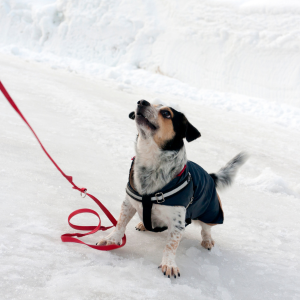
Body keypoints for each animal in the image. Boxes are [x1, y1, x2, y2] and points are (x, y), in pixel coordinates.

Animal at [97, 99, 247, 278]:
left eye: (166, 113)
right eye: (151, 102)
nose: (141, 102)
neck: (151, 163)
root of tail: (210, 176)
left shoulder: (177, 222)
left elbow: (171, 245)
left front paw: (169, 264)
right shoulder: (128, 204)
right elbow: (120, 224)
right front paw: (111, 240)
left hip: (210, 212)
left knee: (206, 228)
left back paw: (207, 240)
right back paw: (144, 224)